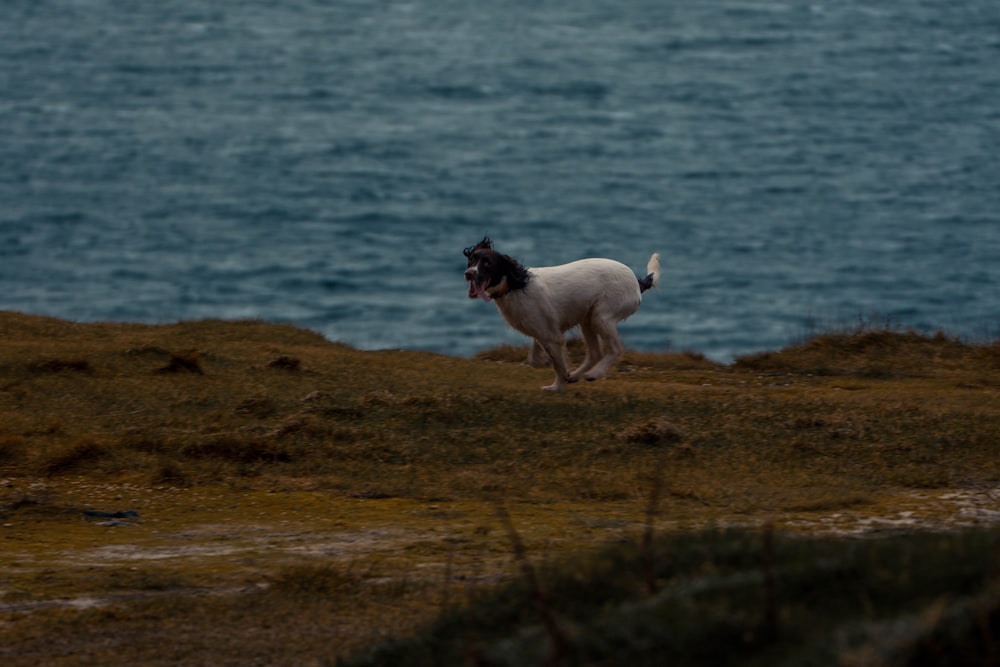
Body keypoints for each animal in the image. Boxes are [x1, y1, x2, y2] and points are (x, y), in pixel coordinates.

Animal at [464, 237, 660, 392]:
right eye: (472, 260)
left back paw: (594, 374)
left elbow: (558, 364)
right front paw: (549, 365)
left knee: (616, 349)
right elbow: (534, 359)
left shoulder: (552, 337)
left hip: (601, 317)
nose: (468, 273)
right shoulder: (543, 332)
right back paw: (575, 375)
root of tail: (637, 281)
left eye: (487, 263)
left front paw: (557, 387)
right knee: (595, 353)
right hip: (588, 320)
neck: (515, 285)